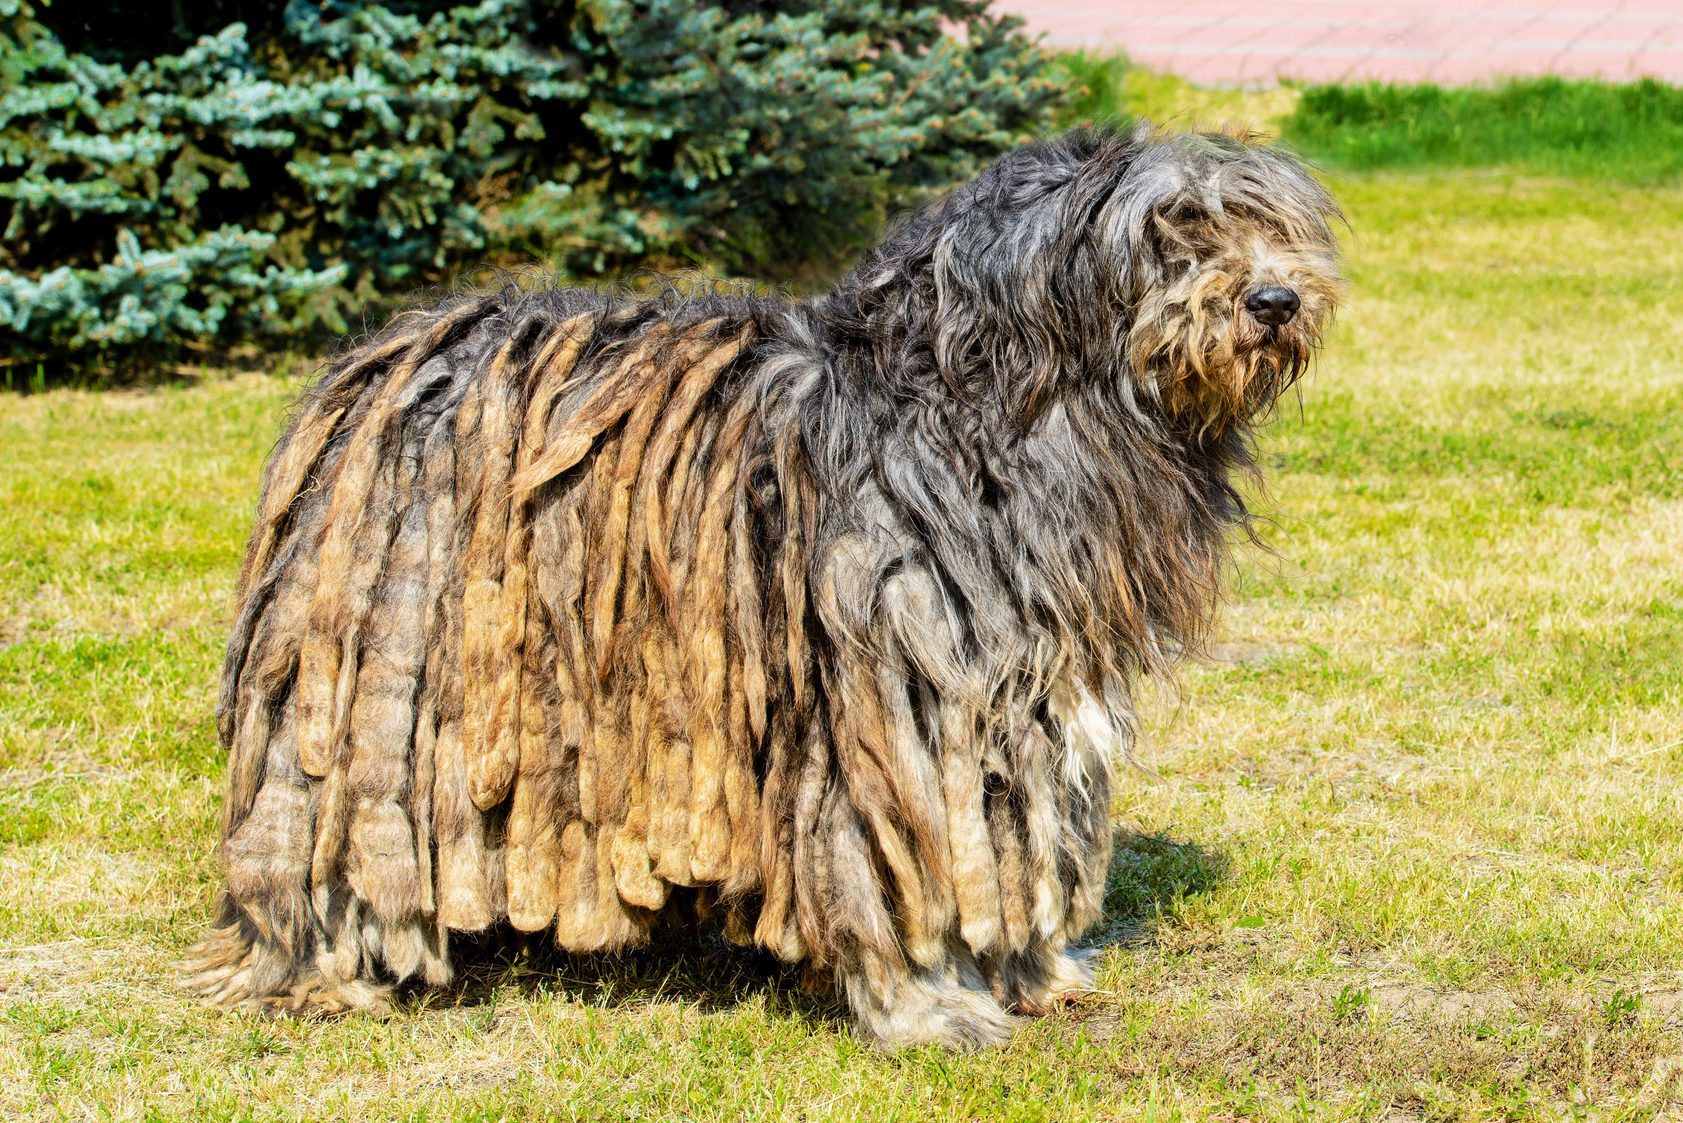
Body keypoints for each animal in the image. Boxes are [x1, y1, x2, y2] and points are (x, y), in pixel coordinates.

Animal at [187, 127, 1339, 1050]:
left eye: (1263, 222)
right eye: (1171, 231)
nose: (1275, 300)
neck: (995, 409)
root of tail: (382, 359)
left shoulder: (1030, 689)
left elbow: (1019, 830)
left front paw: (1038, 973)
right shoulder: (893, 690)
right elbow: (901, 858)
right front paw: (932, 1007)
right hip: (370, 688)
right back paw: (323, 969)